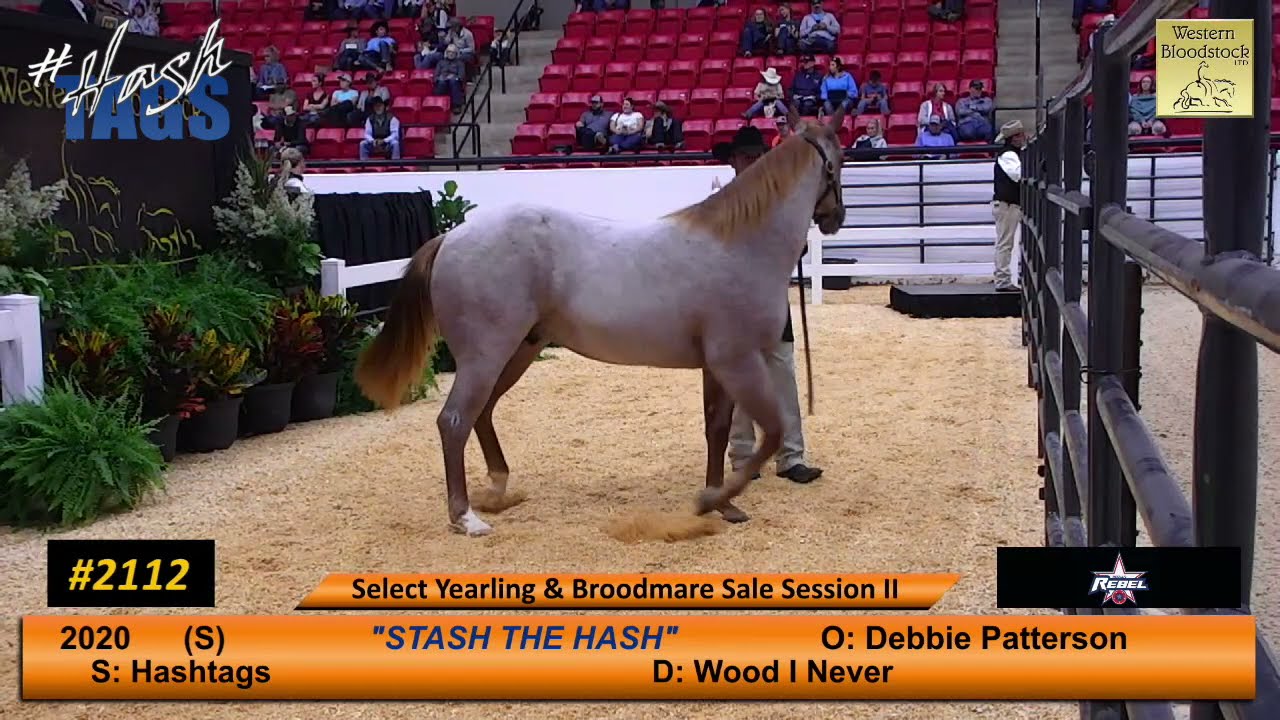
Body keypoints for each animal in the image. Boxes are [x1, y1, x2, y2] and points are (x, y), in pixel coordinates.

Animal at [355, 106, 847, 537]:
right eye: (839, 161)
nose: (835, 218)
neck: (740, 245)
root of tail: (451, 236)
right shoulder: (738, 361)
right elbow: (772, 431)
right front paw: (712, 501)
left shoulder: (717, 367)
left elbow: (718, 430)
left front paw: (721, 504)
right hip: (486, 355)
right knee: (455, 420)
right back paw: (466, 518)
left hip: (519, 350)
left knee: (483, 411)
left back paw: (497, 488)